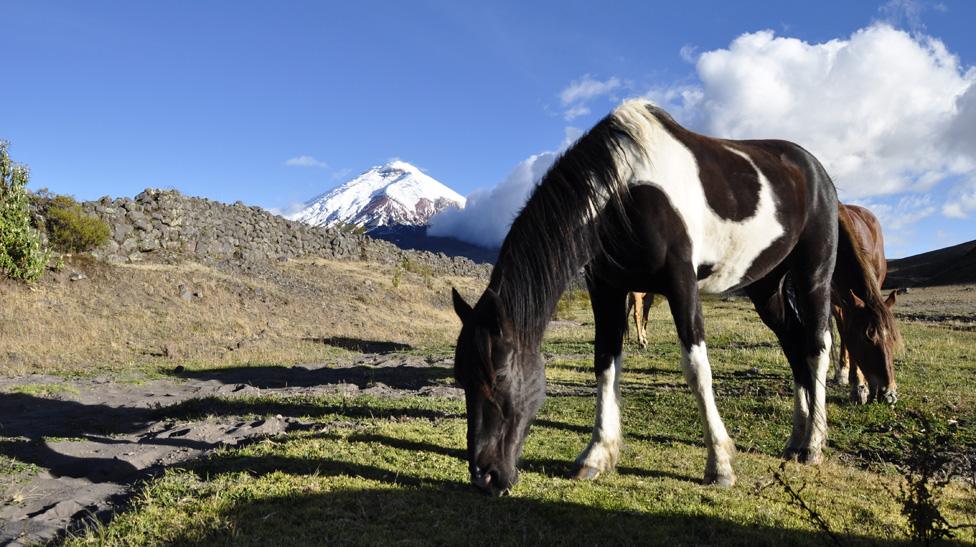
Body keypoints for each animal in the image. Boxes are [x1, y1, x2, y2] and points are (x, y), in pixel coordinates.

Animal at [832, 203, 900, 404]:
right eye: (866, 338)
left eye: (892, 339)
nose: (889, 394)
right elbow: (846, 334)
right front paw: (858, 386)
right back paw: (842, 372)